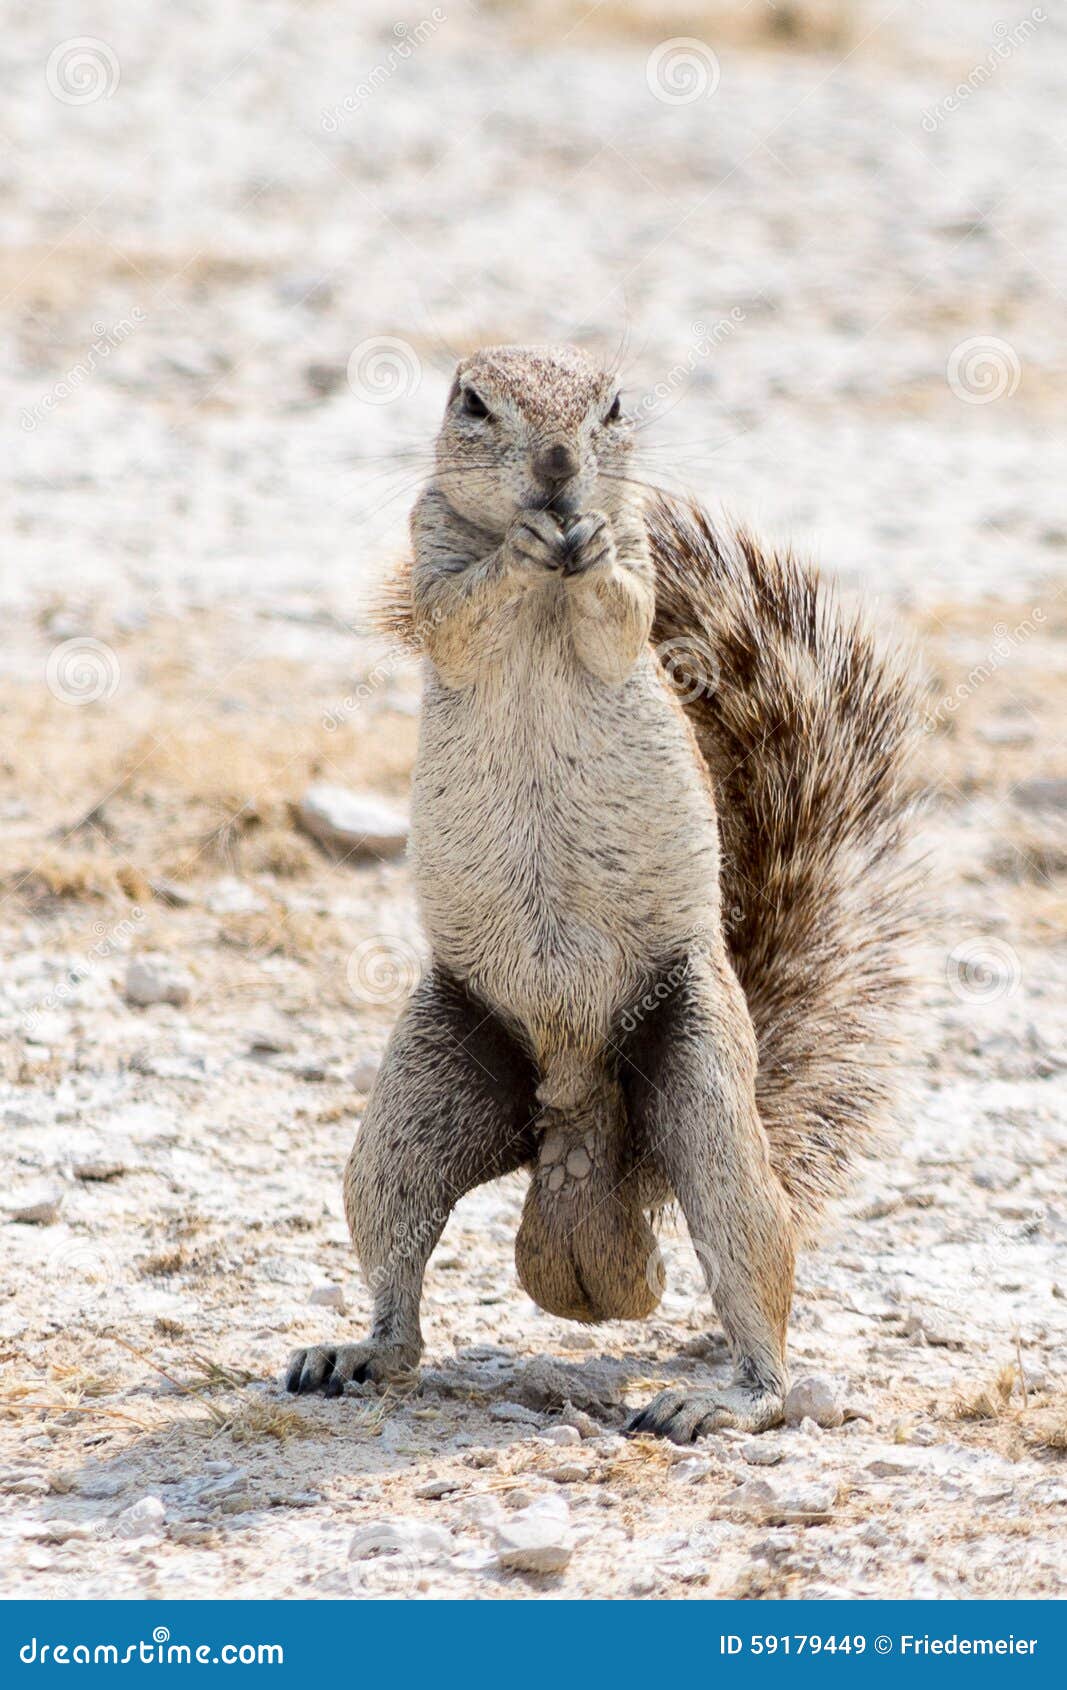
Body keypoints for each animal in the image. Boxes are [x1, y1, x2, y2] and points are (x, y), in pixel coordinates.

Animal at [287, 339, 919, 1439]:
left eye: (614, 402)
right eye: (470, 400)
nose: (555, 466)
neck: (546, 585)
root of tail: (587, 1139)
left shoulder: (635, 572)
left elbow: (618, 608)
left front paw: (576, 543)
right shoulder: (430, 551)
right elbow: (455, 611)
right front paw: (520, 548)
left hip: (703, 1088)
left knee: (749, 1267)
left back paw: (730, 1399)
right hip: (414, 1109)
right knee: (398, 1269)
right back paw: (354, 1351)